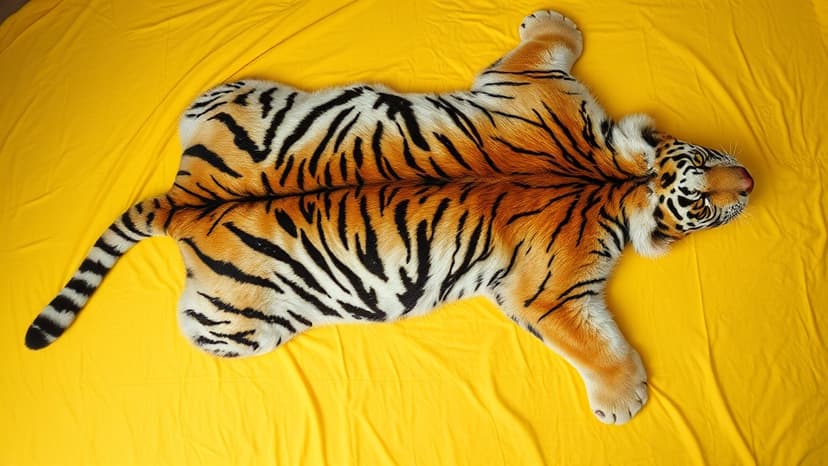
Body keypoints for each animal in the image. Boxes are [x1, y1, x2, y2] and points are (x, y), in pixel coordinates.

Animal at [25, 10, 753, 425]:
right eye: (701, 200)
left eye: (712, 161)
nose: (752, 179)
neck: (622, 176)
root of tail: (179, 197)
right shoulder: (548, 290)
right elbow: (596, 346)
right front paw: (624, 399)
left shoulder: (531, 87)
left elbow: (545, 45)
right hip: (233, 328)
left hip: (230, 94)